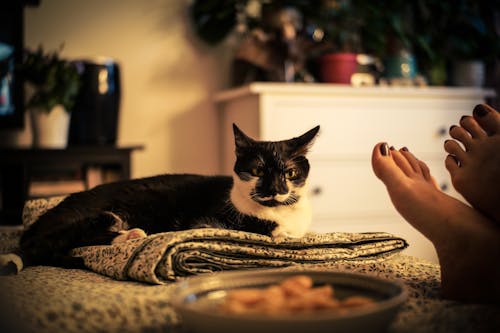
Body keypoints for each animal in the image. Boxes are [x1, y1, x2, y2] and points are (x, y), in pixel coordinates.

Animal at [1, 123, 318, 272]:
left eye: (290, 173)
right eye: (257, 170)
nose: (275, 189)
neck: (277, 211)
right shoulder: (206, 221)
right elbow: (262, 230)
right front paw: (277, 232)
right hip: (88, 216)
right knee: (52, 242)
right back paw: (129, 235)